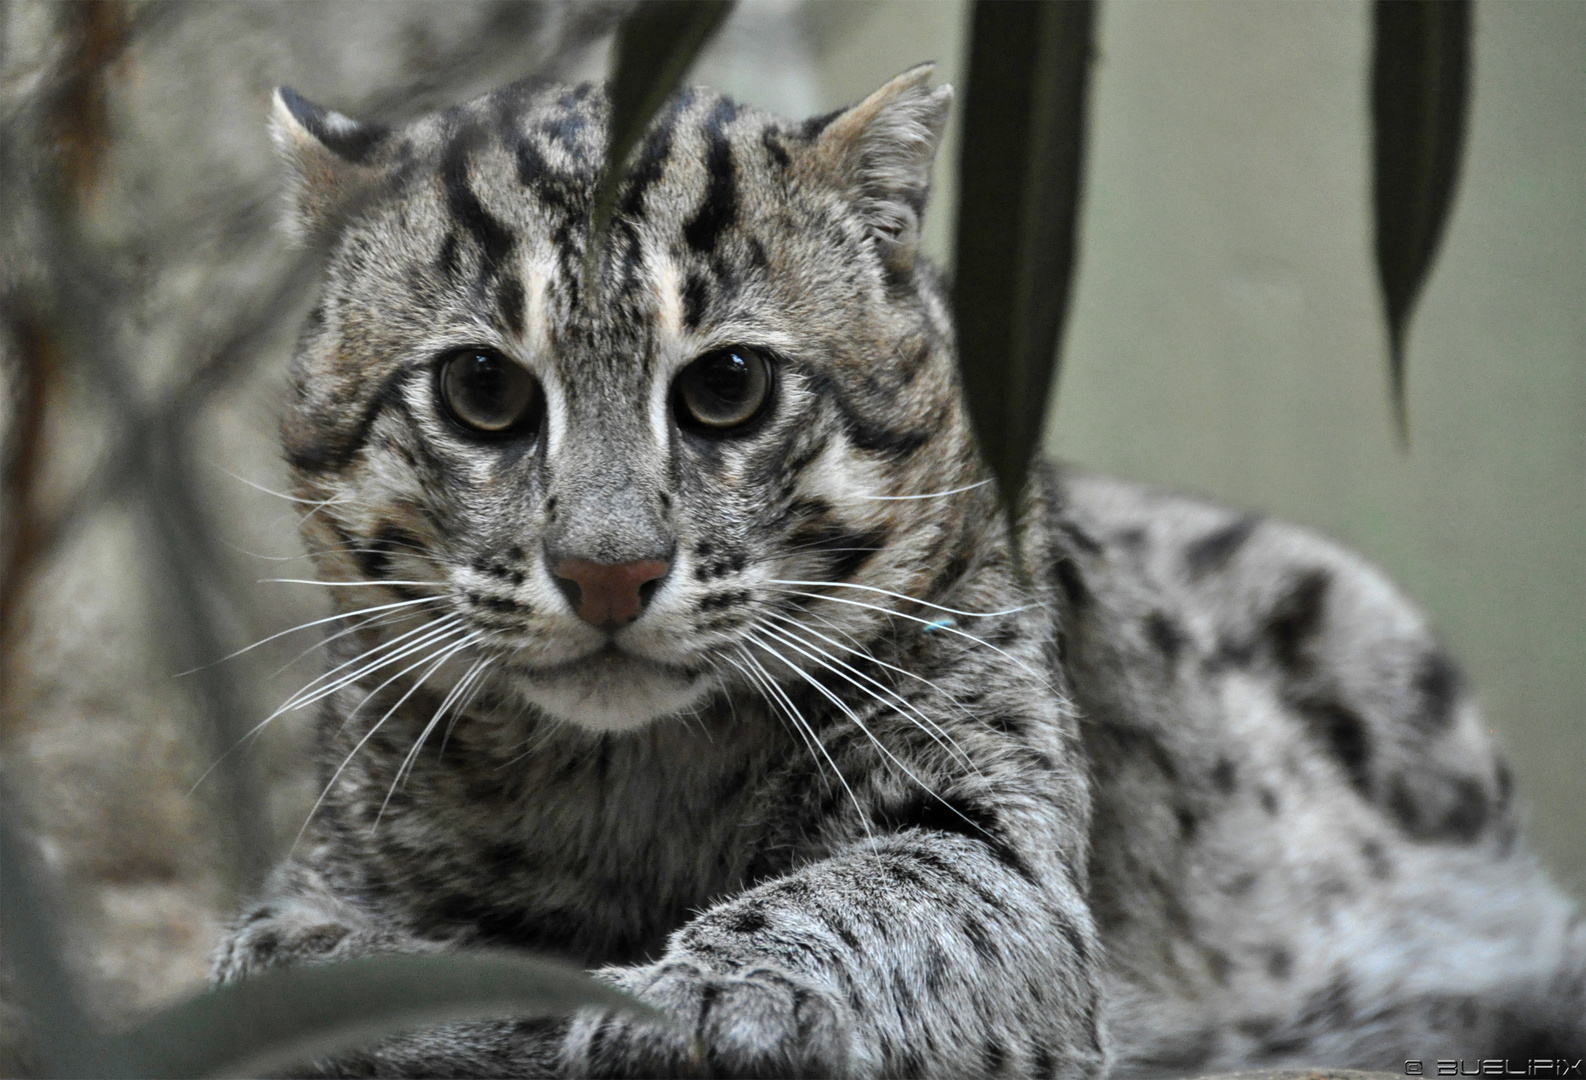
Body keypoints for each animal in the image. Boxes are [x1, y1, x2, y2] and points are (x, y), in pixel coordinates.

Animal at [214, 67, 1586, 1072]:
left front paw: (688, 1003)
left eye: (726, 385)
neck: (627, 778)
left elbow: (889, 888)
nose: (609, 575)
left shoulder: (1004, 839)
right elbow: (291, 949)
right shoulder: (340, 849)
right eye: (482, 390)